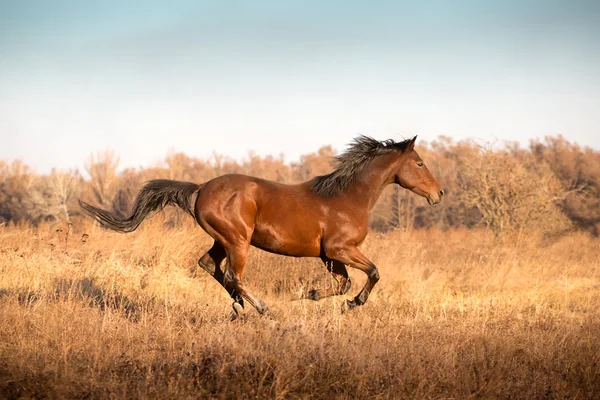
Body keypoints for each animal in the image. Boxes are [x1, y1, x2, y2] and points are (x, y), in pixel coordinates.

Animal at [79, 136, 442, 318]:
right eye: (420, 163)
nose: (438, 194)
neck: (347, 197)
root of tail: (201, 187)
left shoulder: (330, 255)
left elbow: (342, 284)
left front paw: (311, 294)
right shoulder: (341, 249)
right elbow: (373, 273)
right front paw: (351, 303)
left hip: (224, 240)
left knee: (209, 265)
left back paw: (239, 306)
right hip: (238, 241)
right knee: (232, 275)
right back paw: (261, 308)